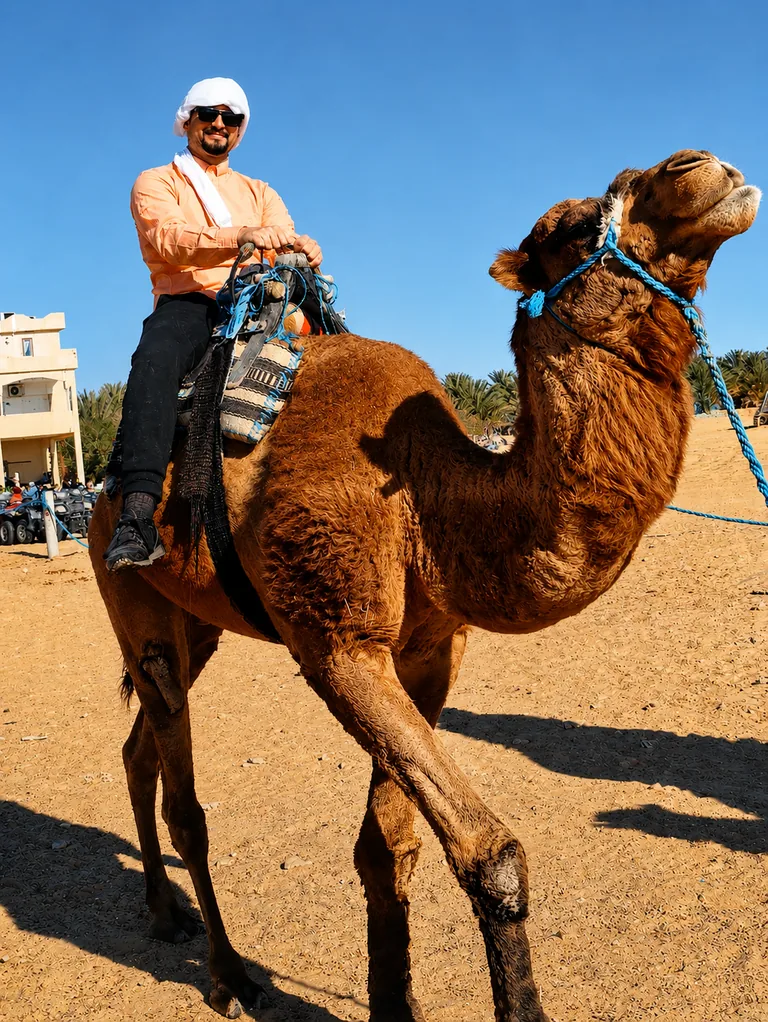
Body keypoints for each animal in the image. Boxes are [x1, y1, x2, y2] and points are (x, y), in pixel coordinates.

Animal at [90, 149, 759, 1022]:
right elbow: (487, 851)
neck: (423, 501)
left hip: (196, 620)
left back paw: (165, 912)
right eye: (576, 228)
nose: (704, 168)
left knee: (140, 745)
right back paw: (230, 975)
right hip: (129, 590)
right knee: (184, 796)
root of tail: (95, 497)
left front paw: (393, 1002)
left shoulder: (432, 652)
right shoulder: (339, 643)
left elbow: (388, 846)